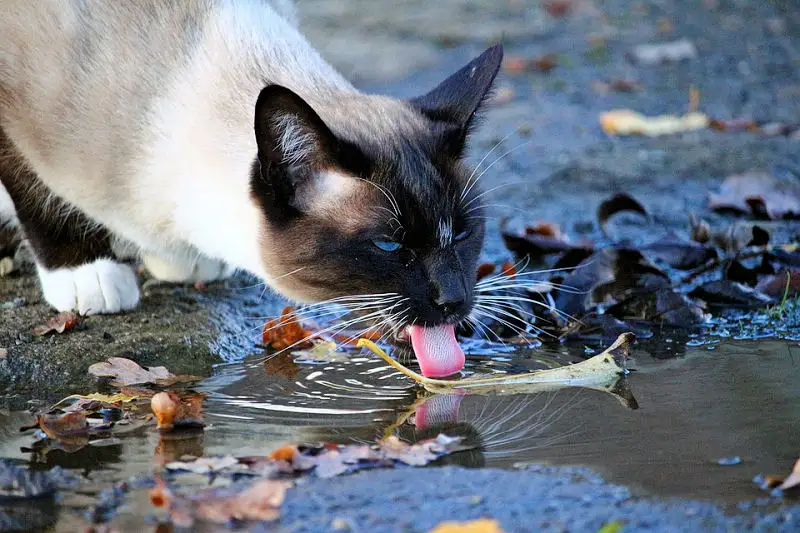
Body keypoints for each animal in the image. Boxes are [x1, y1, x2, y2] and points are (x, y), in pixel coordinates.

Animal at [0, 0, 504, 376]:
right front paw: (86, 274)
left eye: (463, 234)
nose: (455, 300)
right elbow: (35, 189)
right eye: (388, 245)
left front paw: (179, 261)